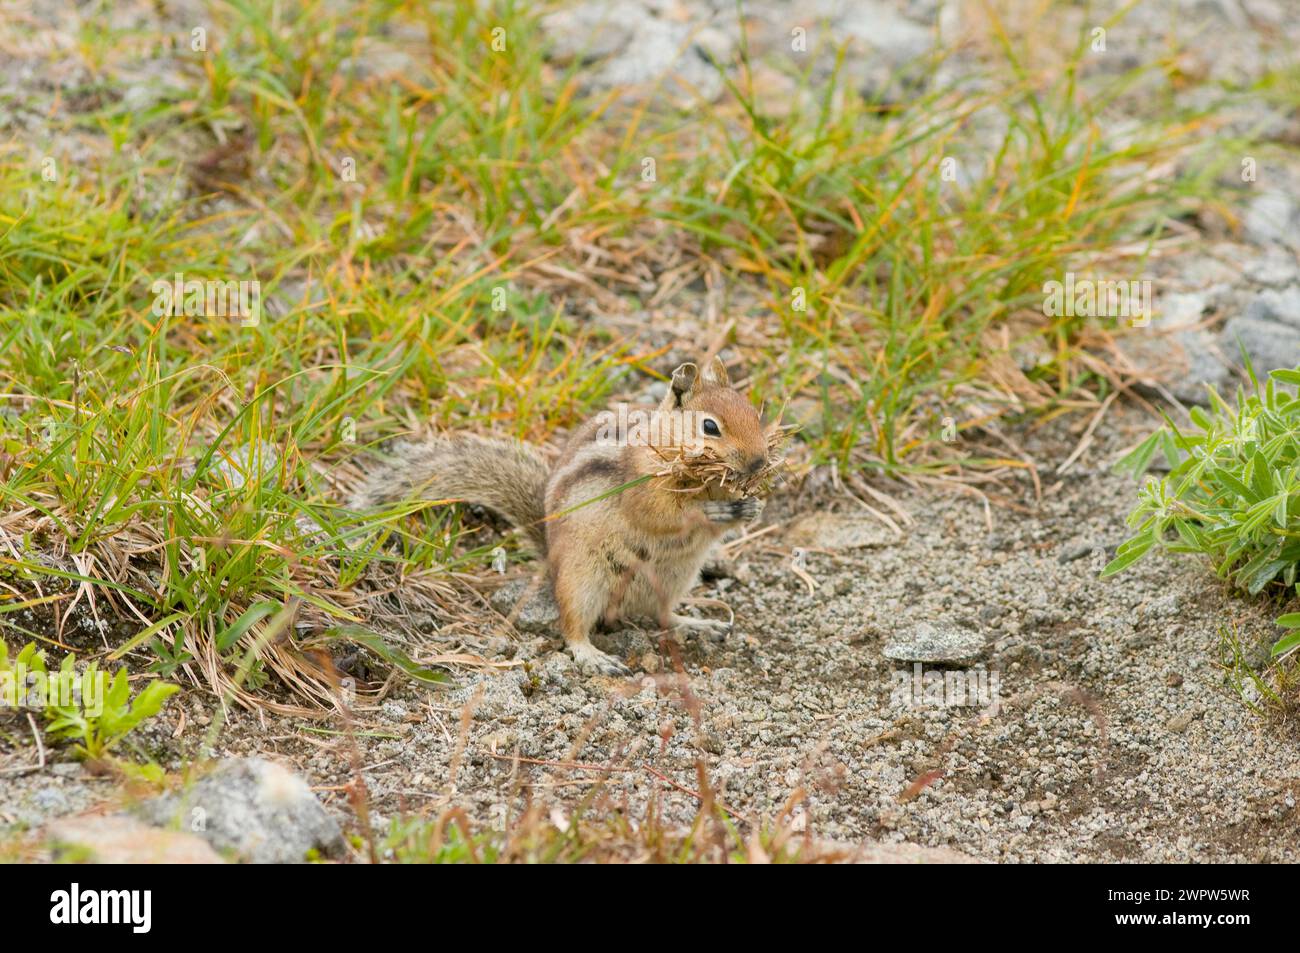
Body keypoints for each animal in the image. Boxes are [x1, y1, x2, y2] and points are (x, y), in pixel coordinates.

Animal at [351, 353, 774, 670]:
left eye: (755, 414)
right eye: (710, 426)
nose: (758, 462)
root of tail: (550, 557)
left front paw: (752, 506)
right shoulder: (643, 487)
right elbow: (662, 514)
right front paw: (712, 510)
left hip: (675, 578)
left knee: (664, 615)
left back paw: (699, 624)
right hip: (581, 579)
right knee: (572, 626)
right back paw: (593, 656)